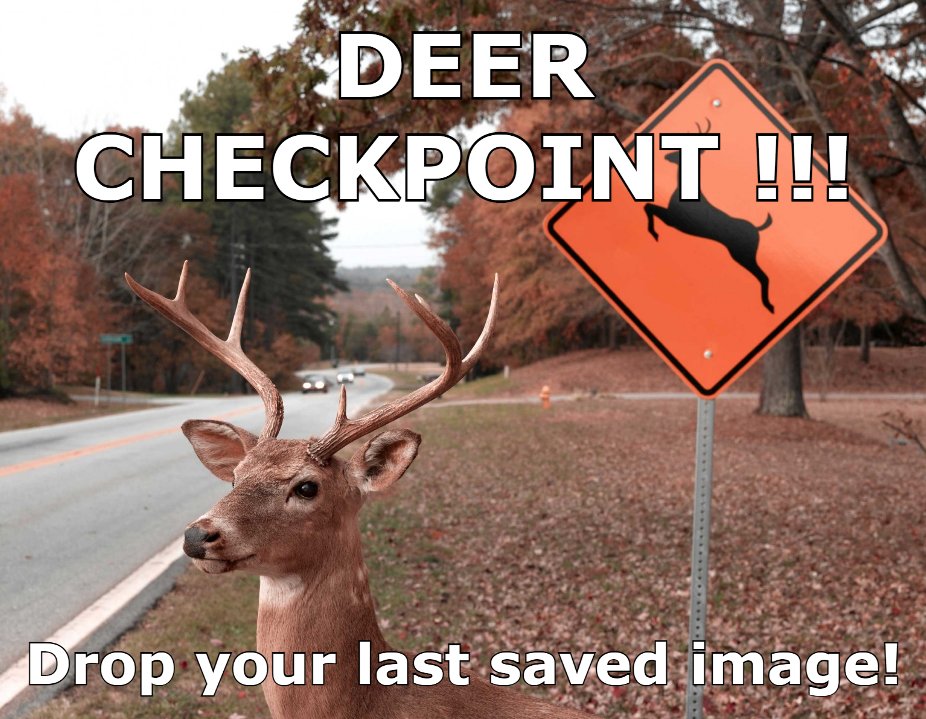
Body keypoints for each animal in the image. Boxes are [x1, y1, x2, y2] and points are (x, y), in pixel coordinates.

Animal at [643, 119, 775, 314]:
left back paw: (769, 306)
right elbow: (648, 206)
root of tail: (757, 230)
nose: (667, 156)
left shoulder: (674, 220)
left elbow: (648, 207)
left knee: (764, 276)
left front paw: (654, 233)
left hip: (743, 254)